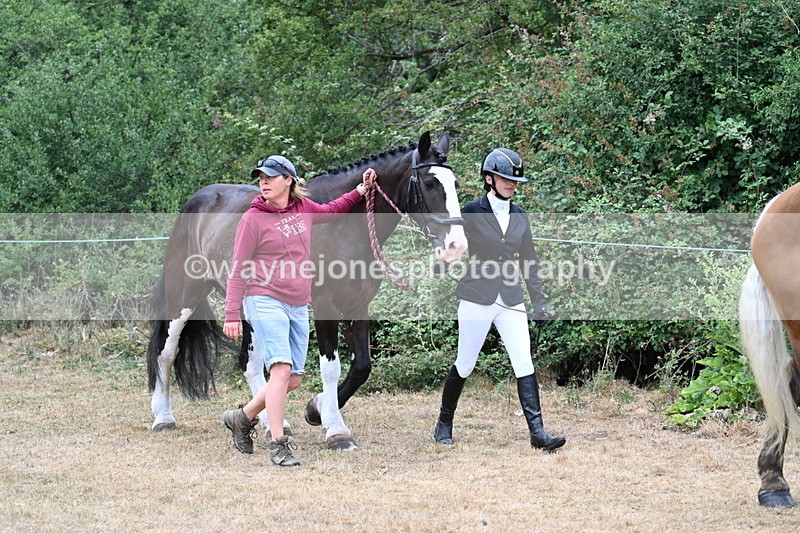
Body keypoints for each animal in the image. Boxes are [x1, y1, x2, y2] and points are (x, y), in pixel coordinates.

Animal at [146, 131, 467, 450]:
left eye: (455, 184)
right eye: (429, 183)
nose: (456, 246)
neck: (344, 229)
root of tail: (195, 202)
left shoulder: (357, 306)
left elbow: (362, 367)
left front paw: (316, 409)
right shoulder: (326, 307)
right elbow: (331, 368)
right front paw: (336, 431)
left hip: (249, 307)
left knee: (251, 365)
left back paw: (269, 424)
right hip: (184, 297)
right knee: (166, 352)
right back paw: (163, 418)